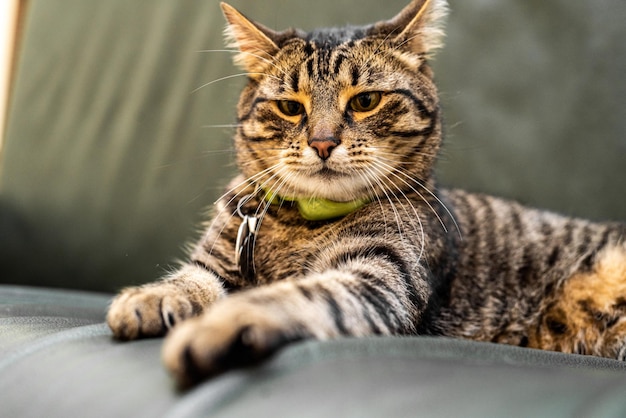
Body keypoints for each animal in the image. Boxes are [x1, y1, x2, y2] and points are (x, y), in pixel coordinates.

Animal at [107, 0, 624, 386]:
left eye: (366, 101)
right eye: (290, 108)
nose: (322, 142)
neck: (304, 221)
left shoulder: (382, 277)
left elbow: (302, 294)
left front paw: (223, 325)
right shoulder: (216, 260)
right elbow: (190, 280)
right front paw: (149, 298)